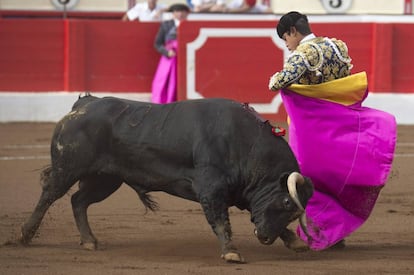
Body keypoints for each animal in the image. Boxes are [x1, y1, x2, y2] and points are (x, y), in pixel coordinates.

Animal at [19, 96, 312, 264]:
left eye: (292, 214)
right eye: (286, 202)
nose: (264, 238)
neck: (245, 143)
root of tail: (83, 104)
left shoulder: (243, 193)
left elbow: (255, 214)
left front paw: (295, 242)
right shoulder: (211, 188)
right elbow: (220, 220)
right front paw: (231, 252)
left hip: (105, 180)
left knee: (78, 200)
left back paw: (89, 241)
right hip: (68, 168)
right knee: (50, 194)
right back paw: (25, 235)